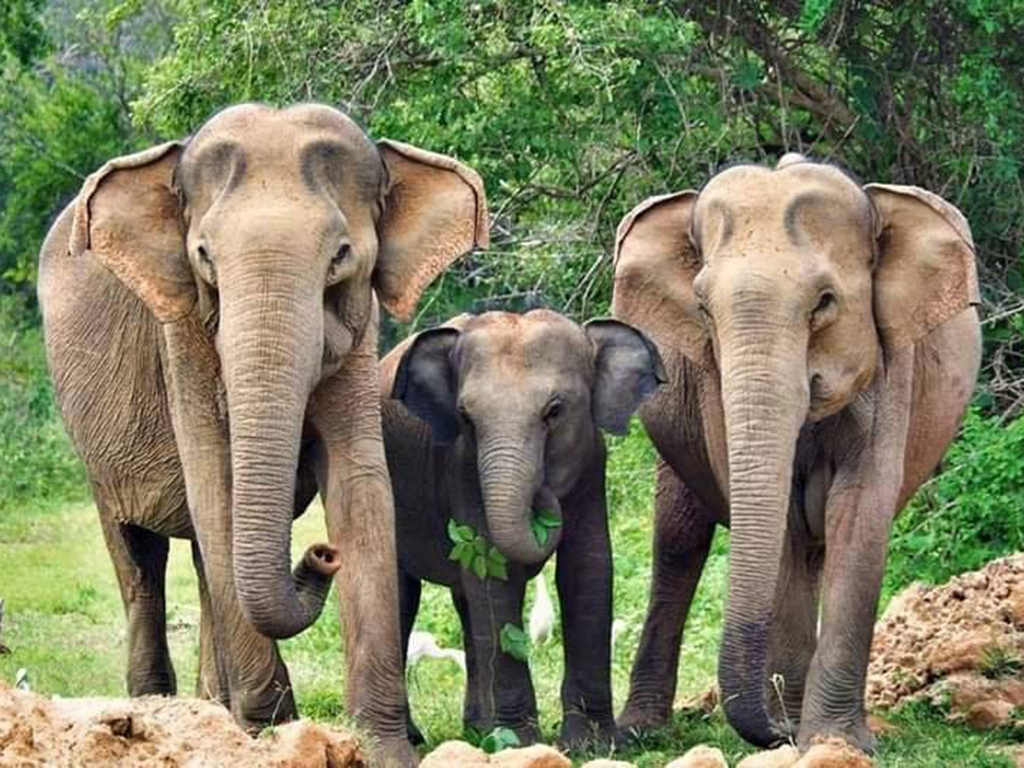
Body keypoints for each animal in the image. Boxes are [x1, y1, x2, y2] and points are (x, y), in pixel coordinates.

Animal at [37, 103, 488, 765]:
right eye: (204, 256)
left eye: (341, 255)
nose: (321, 554)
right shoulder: (182, 338)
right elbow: (214, 482)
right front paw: (272, 734)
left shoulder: (360, 333)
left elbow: (361, 485)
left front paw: (381, 747)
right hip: (96, 449)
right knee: (139, 557)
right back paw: (154, 713)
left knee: (201, 560)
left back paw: (212, 710)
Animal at [379, 310, 664, 747]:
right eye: (465, 417)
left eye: (555, 411)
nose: (544, 494)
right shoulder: (462, 468)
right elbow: (493, 574)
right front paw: (519, 743)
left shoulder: (592, 463)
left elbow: (588, 568)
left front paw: (592, 744)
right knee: (403, 594)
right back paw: (418, 737)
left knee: (466, 606)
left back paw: (477, 730)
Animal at [611, 154, 980, 753]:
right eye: (702, 308)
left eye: (824, 303)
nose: (777, 729)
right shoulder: (712, 385)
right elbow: (779, 520)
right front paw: (801, 731)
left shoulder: (891, 367)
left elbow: (859, 508)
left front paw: (835, 741)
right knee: (679, 542)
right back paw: (642, 731)